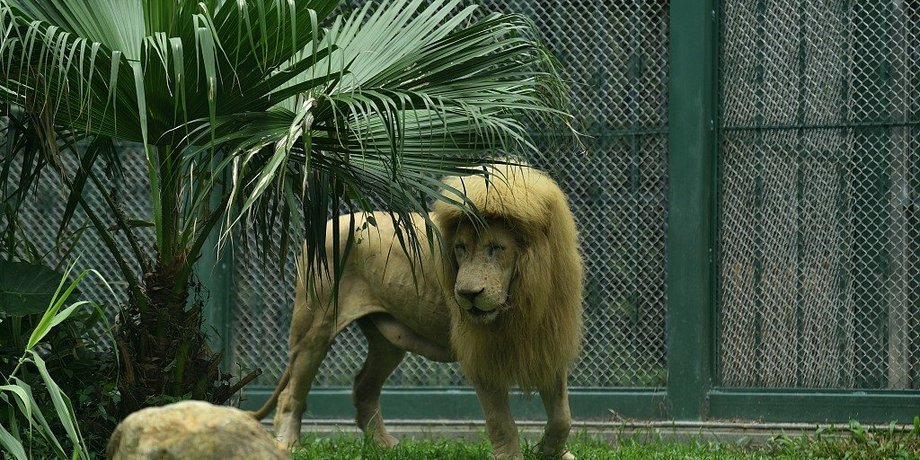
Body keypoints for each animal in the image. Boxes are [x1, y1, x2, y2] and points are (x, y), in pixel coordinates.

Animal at [252, 163, 584, 460]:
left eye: (496, 248)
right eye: (460, 248)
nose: (467, 294)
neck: (521, 298)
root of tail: (322, 227)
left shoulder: (549, 343)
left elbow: (563, 417)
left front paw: (553, 453)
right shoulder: (479, 352)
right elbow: (500, 420)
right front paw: (512, 456)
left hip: (387, 340)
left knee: (363, 385)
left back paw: (383, 445)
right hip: (315, 326)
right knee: (291, 393)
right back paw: (287, 443)